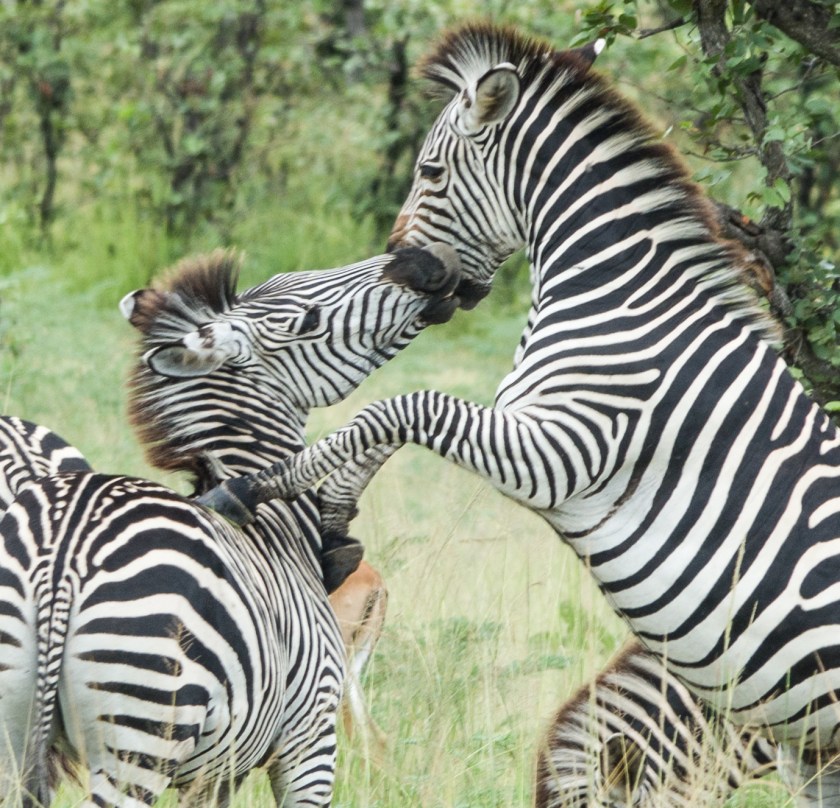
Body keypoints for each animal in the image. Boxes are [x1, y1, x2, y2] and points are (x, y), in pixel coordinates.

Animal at [0, 245, 461, 807]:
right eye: (308, 319)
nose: (425, 259)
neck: (280, 532)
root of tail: (65, 548)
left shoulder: (217, 769)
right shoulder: (308, 739)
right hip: (141, 735)